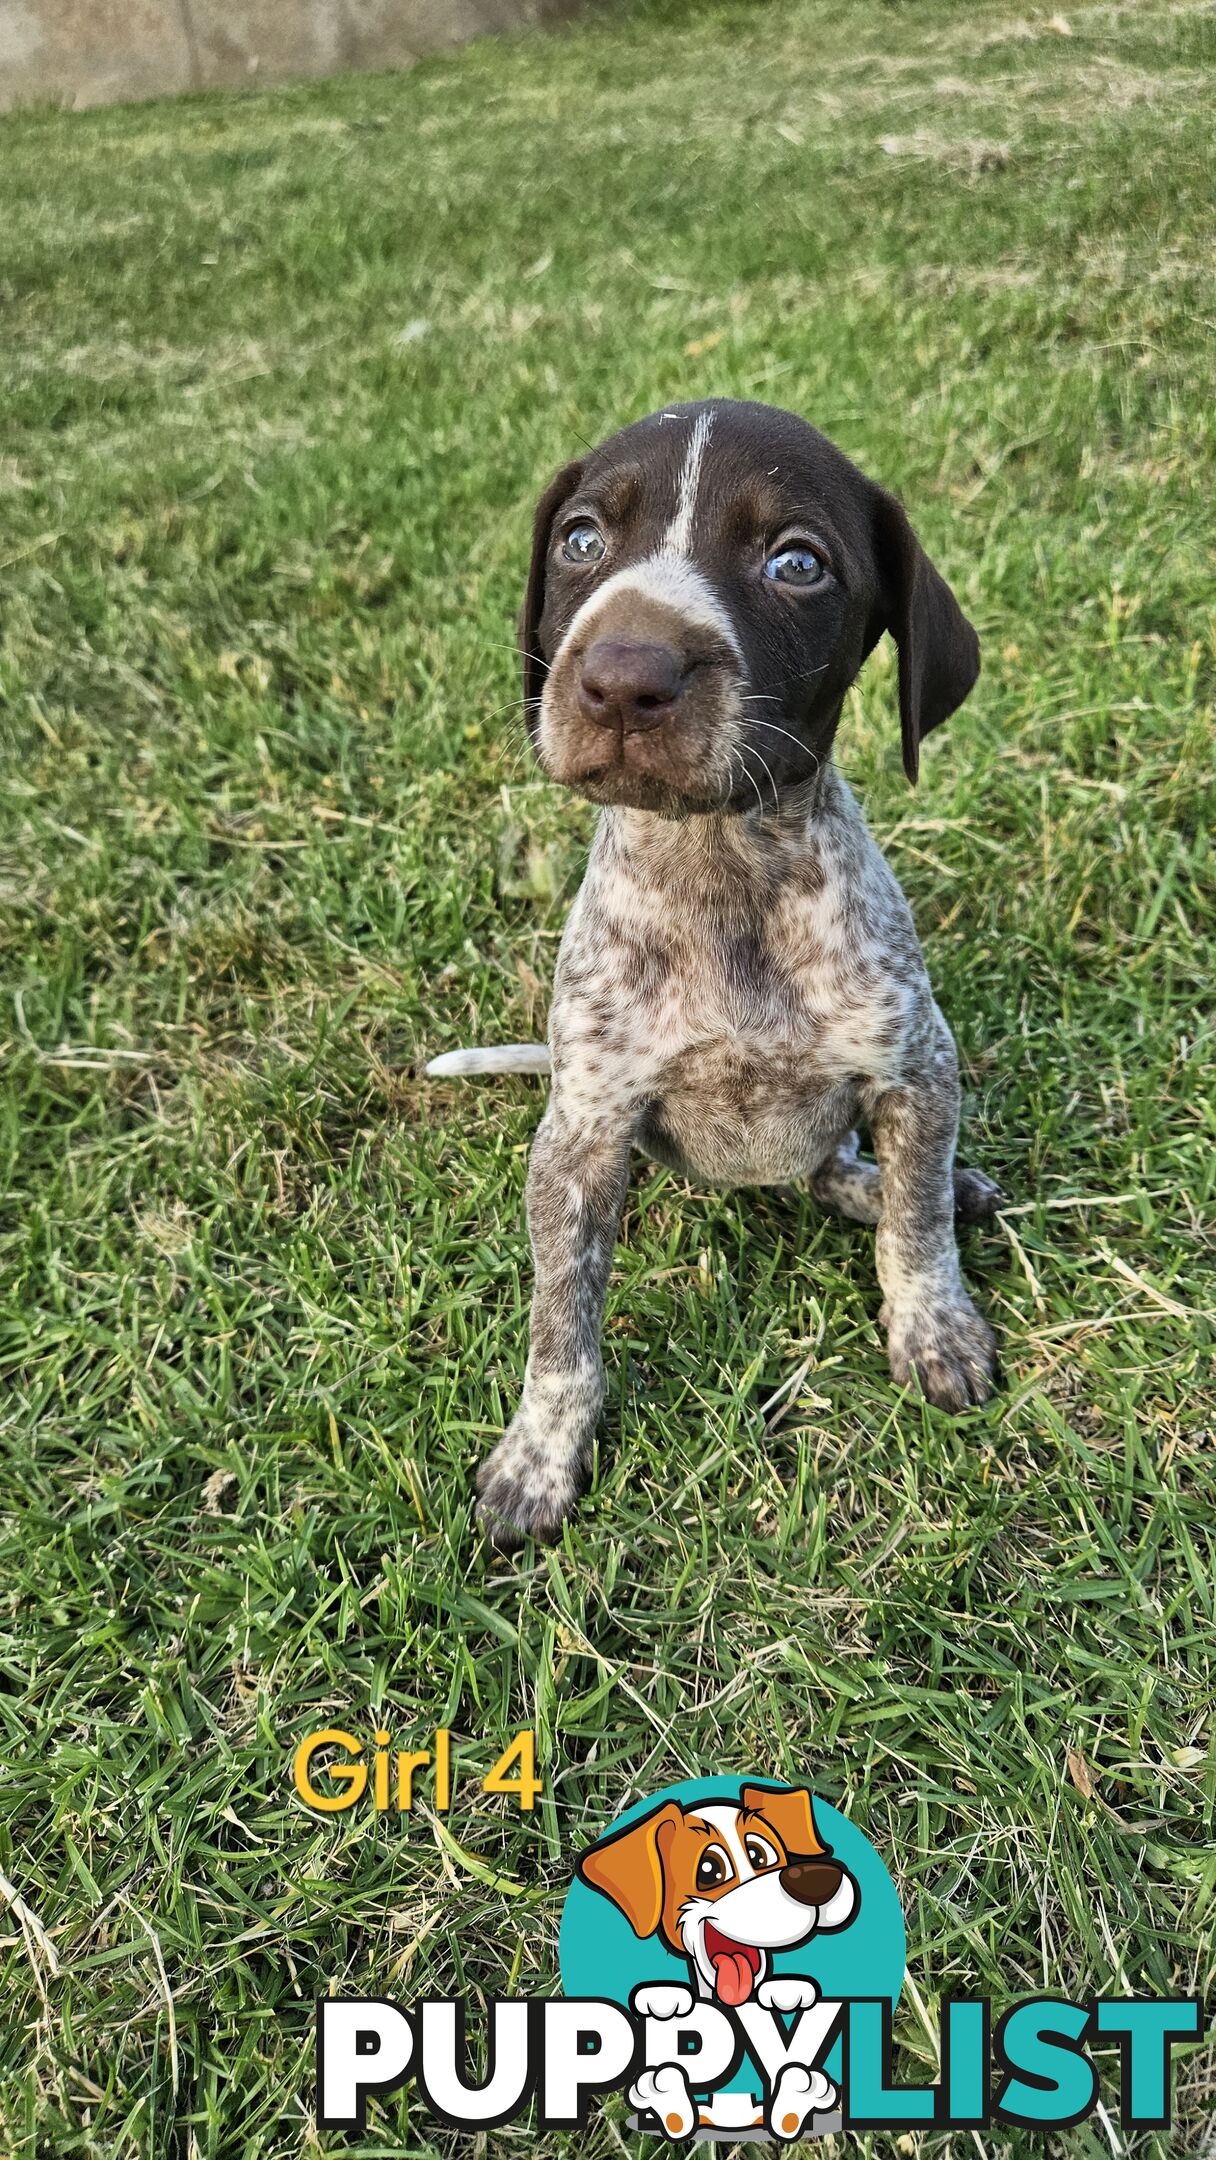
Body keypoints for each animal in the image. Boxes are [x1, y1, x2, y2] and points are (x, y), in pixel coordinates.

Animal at [431, 401, 1002, 1555]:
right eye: (581, 541)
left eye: (796, 563)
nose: (621, 677)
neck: (722, 871)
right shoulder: (582, 1135)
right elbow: (562, 1324)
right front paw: (540, 1454)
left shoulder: (919, 1072)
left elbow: (916, 1229)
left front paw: (935, 1326)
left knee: (853, 1175)